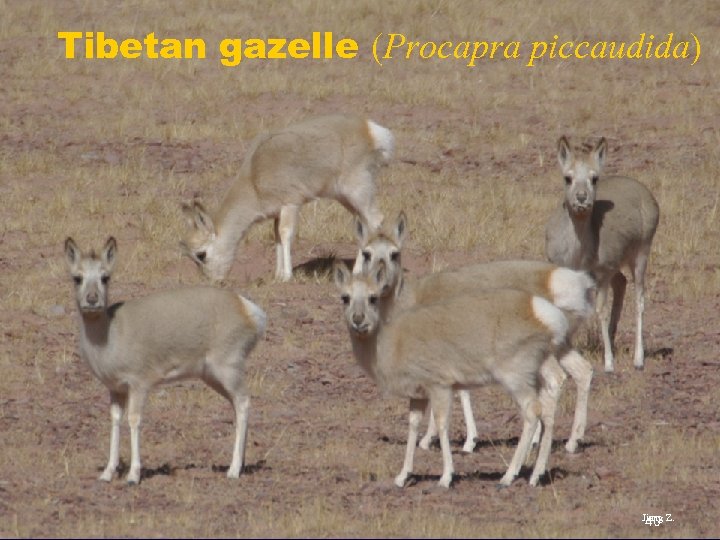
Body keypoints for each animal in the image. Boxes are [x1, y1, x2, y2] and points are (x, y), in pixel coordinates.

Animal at [65, 237, 266, 484]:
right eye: (77, 277)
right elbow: (115, 420)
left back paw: (233, 470)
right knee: (236, 405)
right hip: (213, 377)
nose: (92, 299)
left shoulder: (139, 384)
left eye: (105, 277)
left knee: (244, 402)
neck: (110, 334)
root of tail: (248, 309)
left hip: (228, 369)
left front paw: (133, 476)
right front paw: (107, 473)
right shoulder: (115, 389)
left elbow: (134, 419)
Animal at [181, 114, 394, 282]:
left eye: (201, 254)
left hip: (357, 192)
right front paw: (277, 274)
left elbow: (285, 234)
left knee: (376, 220)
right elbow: (276, 235)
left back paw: (360, 271)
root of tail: (369, 129)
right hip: (346, 198)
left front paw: (286, 276)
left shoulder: (290, 204)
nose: (212, 281)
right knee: (364, 223)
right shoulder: (277, 212)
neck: (254, 176)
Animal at [335, 258, 591, 488]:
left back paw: (508, 477)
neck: (393, 341)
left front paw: (446, 477)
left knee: (532, 412)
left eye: (373, 297)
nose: (358, 320)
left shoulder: (440, 387)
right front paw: (402, 477)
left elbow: (441, 424)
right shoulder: (417, 395)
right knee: (553, 399)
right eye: (345, 297)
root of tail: (543, 311)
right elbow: (413, 426)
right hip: (542, 370)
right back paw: (536, 474)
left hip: (516, 379)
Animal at [354, 212, 596, 454]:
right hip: (561, 347)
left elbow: (456, 391)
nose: (380, 283)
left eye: (394, 253)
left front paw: (452, 440)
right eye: (367, 253)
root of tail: (568, 279)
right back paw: (572, 441)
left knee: (555, 380)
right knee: (582, 371)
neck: (415, 295)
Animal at [545, 136, 660, 372]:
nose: (581, 198)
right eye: (567, 177)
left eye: (594, 178)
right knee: (622, 283)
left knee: (639, 300)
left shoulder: (602, 275)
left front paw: (608, 363)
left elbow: (601, 312)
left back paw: (638, 359)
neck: (578, 254)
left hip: (641, 254)